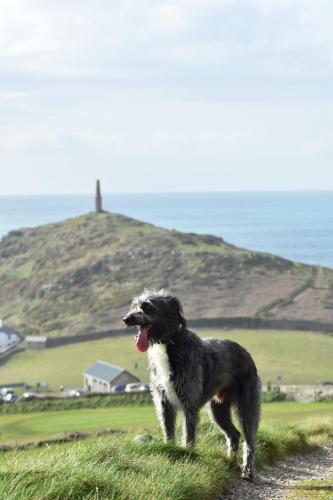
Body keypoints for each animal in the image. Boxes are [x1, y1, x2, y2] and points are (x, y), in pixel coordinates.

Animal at [122, 290, 260, 480]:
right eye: (134, 305)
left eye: (147, 306)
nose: (126, 319)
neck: (168, 342)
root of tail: (246, 353)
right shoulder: (163, 401)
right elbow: (168, 429)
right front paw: (170, 450)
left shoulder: (189, 400)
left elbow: (188, 431)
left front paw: (188, 455)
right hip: (218, 409)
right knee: (234, 434)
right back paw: (229, 460)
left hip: (246, 405)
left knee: (249, 438)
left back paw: (247, 469)